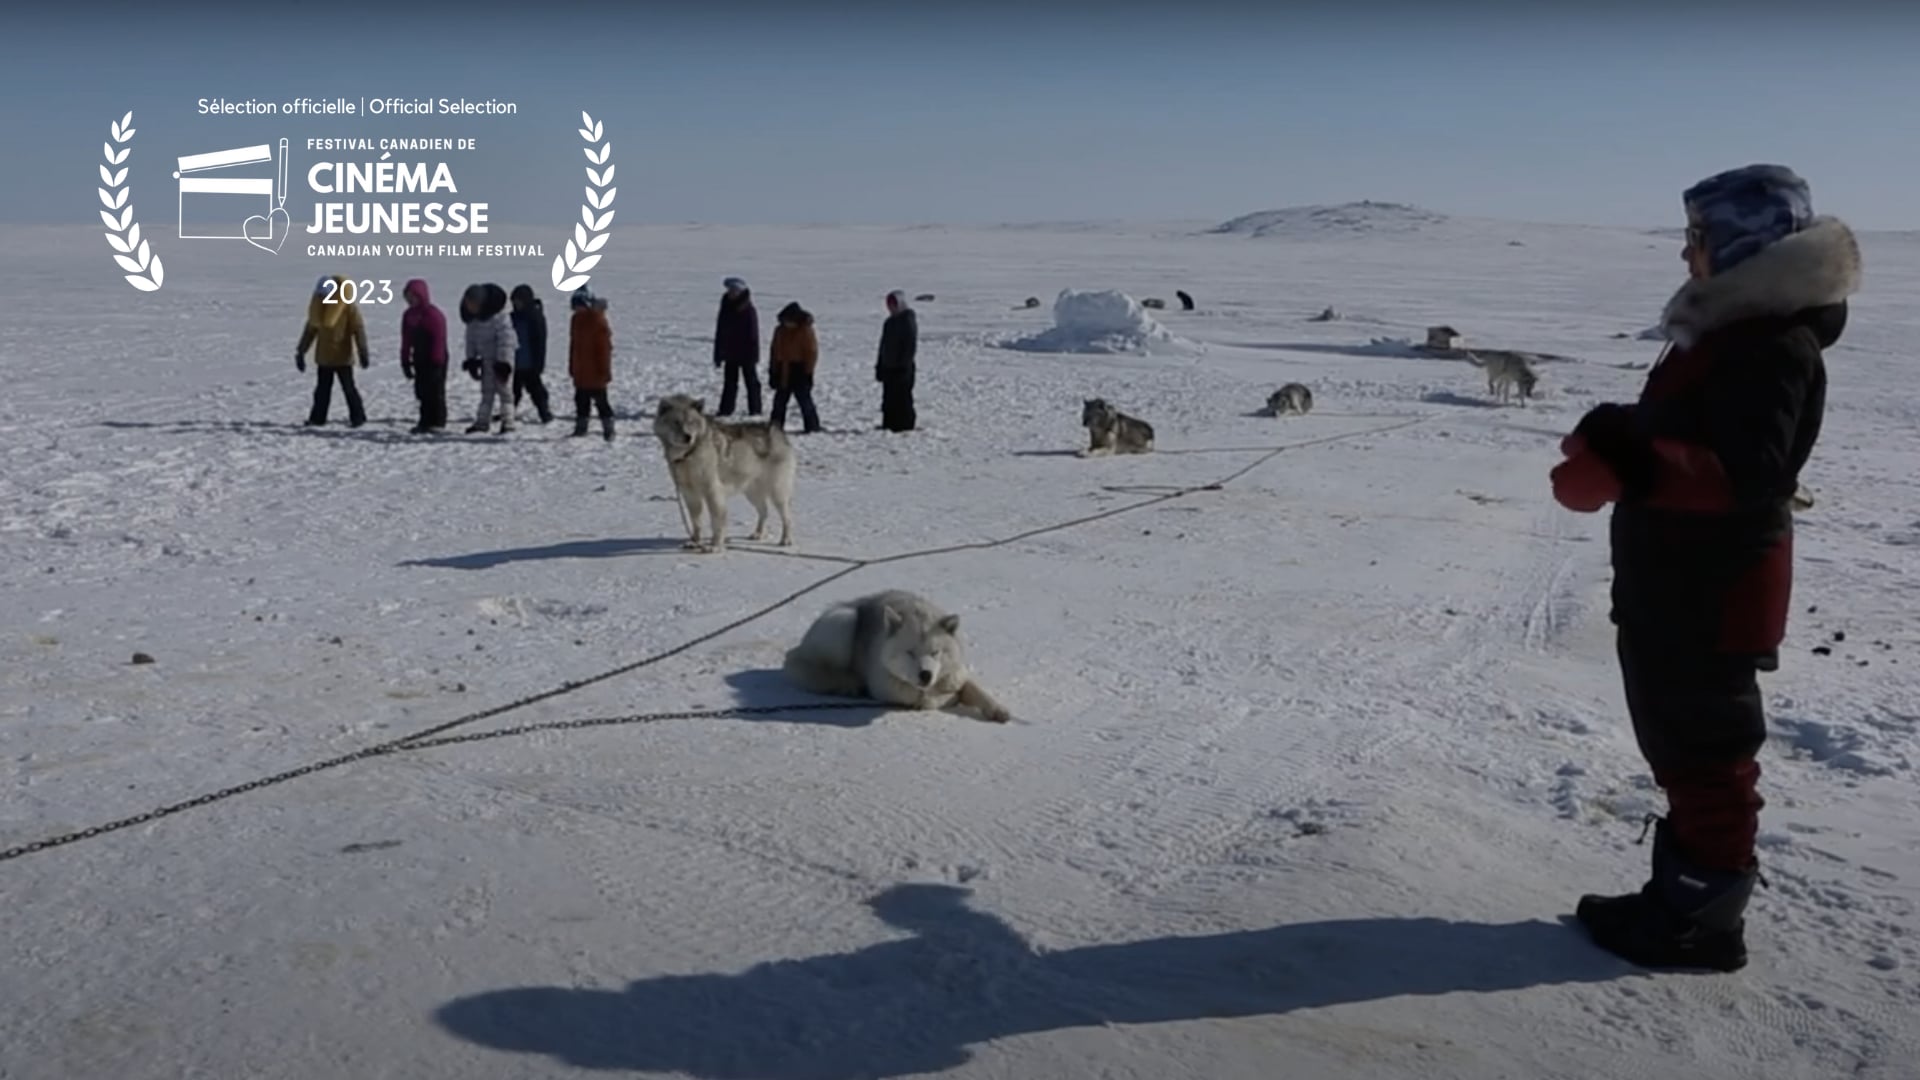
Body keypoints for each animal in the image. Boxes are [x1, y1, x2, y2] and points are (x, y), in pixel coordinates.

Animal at [648, 390, 791, 549]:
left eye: (691, 422)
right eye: (676, 422)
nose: (688, 437)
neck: (689, 454)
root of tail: (776, 431)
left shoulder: (712, 492)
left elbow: (717, 522)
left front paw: (716, 545)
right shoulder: (690, 494)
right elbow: (696, 522)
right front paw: (695, 542)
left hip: (777, 492)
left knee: (787, 516)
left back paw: (785, 539)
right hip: (752, 492)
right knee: (764, 511)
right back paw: (758, 534)